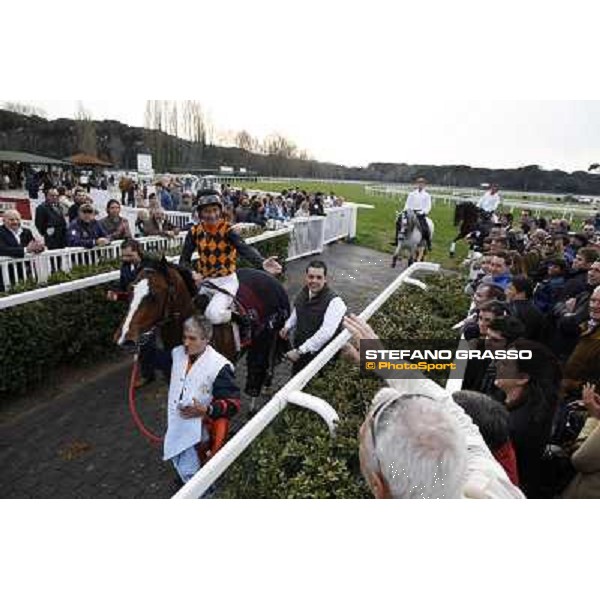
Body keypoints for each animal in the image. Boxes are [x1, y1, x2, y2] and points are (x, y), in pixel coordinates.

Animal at [115, 258, 292, 404]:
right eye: (130, 291)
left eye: (153, 295)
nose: (124, 339)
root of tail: (268, 276)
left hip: (267, 335)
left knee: (262, 362)